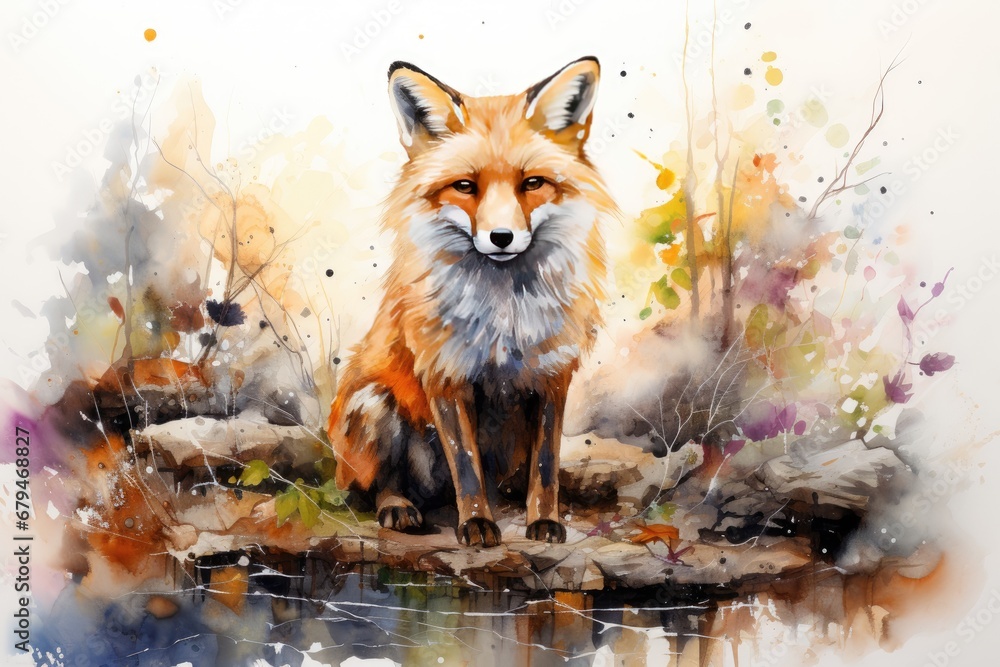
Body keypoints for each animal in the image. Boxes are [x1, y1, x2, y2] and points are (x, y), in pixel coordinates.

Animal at [326, 56, 615, 547]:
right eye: (465, 186)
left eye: (532, 183)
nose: (501, 237)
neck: (505, 313)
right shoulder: (445, 373)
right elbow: (466, 466)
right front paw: (477, 524)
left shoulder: (552, 375)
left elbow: (546, 467)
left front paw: (544, 520)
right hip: (373, 404)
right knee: (378, 486)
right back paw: (399, 507)